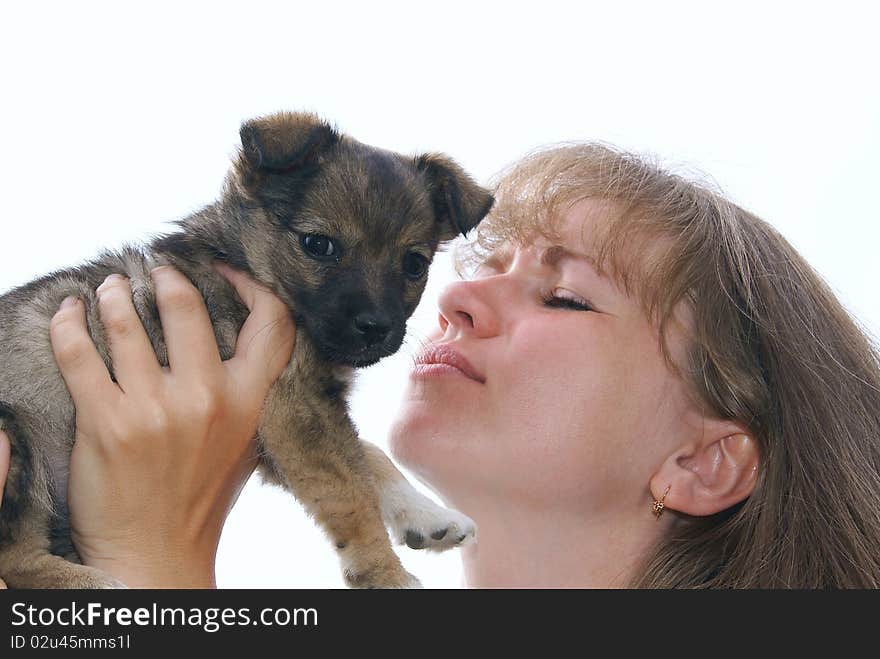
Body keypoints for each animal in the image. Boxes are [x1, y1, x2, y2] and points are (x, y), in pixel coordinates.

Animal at [0, 111, 492, 592]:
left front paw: (428, 515)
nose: (375, 327)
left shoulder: (283, 423)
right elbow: (351, 494)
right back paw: (98, 586)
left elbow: (370, 458)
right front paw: (386, 573)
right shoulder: (294, 407)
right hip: (20, 439)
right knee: (15, 558)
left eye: (415, 264)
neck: (251, 266)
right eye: (318, 245)